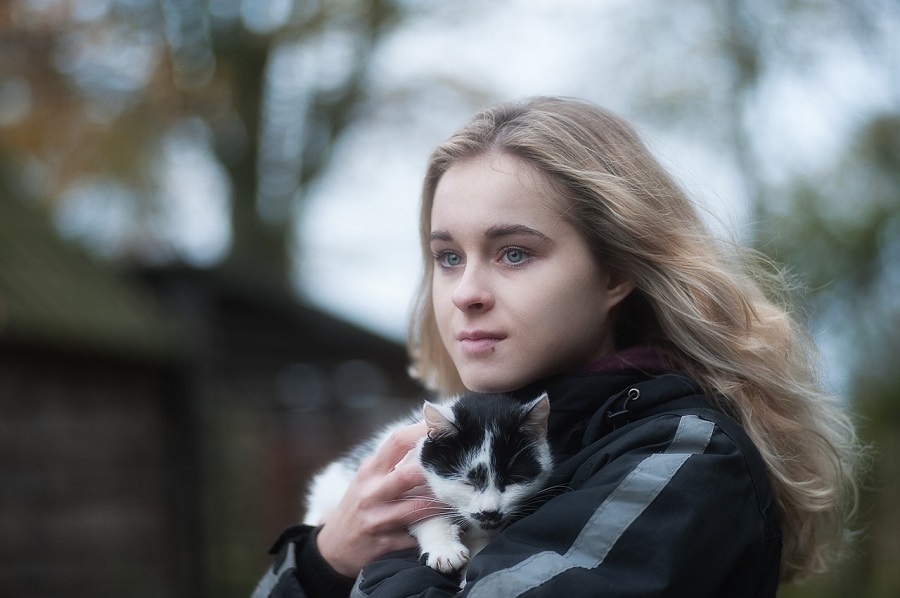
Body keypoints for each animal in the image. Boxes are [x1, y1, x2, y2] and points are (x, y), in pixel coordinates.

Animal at [306, 392, 552, 580]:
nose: (490, 512)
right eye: (468, 481)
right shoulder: (405, 475)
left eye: (511, 480)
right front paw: (444, 550)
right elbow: (423, 512)